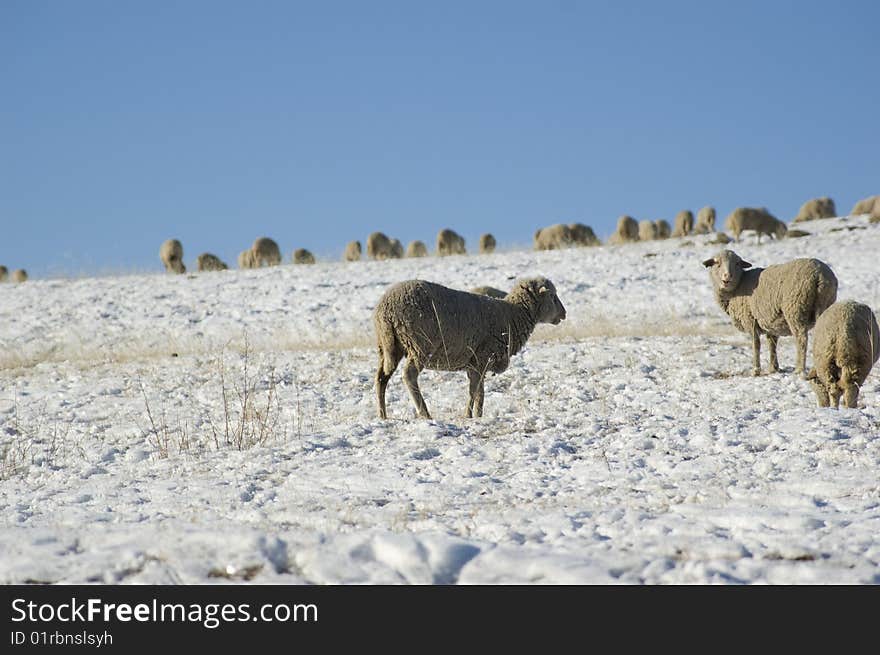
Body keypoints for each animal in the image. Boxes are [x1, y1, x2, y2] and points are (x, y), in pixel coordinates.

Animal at [372, 276, 568, 420]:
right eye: (552, 296)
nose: (564, 314)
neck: (512, 315)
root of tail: (386, 309)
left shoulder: (476, 364)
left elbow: (477, 391)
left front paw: (475, 415)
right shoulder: (482, 357)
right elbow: (476, 392)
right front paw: (472, 416)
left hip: (388, 347)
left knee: (381, 378)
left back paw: (382, 415)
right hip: (419, 345)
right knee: (409, 375)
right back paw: (425, 413)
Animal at [700, 249, 840, 376]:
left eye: (737, 263)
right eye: (717, 263)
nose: (727, 277)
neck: (737, 288)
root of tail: (820, 275)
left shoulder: (750, 319)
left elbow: (756, 344)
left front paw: (755, 370)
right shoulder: (770, 322)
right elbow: (772, 344)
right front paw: (773, 368)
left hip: (795, 308)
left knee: (801, 338)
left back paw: (799, 369)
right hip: (824, 304)